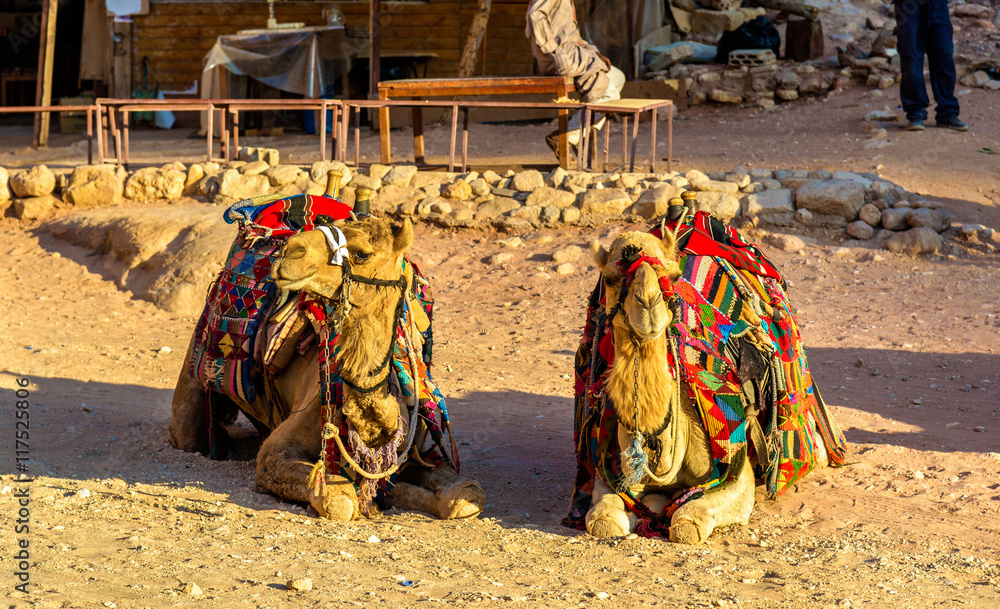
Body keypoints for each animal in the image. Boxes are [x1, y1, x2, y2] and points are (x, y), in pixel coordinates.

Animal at [170, 211, 486, 520]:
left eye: (361, 253)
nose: (291, 251)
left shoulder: (415, 453)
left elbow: (465, 498)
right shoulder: (277, 451)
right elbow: (341, 499)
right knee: (188, 432)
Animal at [572, 222, 844, 540]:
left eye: (672, 275)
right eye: (611, 278)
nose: (648, 305)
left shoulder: (735, 470)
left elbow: (687, 522)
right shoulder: (610, 467)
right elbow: (603, 521)